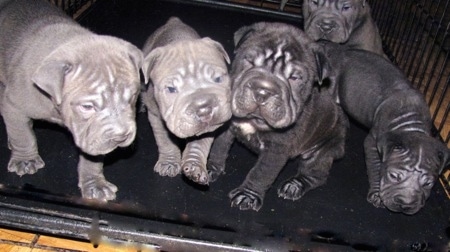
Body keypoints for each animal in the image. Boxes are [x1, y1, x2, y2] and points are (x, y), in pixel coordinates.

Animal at [0, 0, 142, 201]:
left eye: (132, 97)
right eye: (87, 106)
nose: (121, 136)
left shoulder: (92, 134)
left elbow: (92, 157)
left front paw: (95, 184)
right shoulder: (14, 105)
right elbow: (22, 134)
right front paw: (25, 160)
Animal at [142, 16, 232, 184]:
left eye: (218, 79)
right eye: (171, 89)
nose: (204, 109)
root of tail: (173, 21)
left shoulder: (210, 127)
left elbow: (200, 142)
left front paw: (194, 165)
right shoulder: (157, 115)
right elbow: (165, 139)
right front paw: (169, 163)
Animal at [207, 22, 348, 211]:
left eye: (294, 77)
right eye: (249, 61)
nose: (262, 91)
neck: (254, 121)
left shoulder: (277, 148)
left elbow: (261, 172)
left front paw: (248, 195)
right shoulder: (228, 126)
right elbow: (219, 146)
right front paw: (210, 167)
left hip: (324, 149)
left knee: (315, 174)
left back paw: (294, 186)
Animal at [318, 41, 450, 215]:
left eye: (428, 183)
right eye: (393, 176)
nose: (405, 204)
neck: (410, 124)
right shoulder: (373, 143)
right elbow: (375, 166)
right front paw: (376, 194)